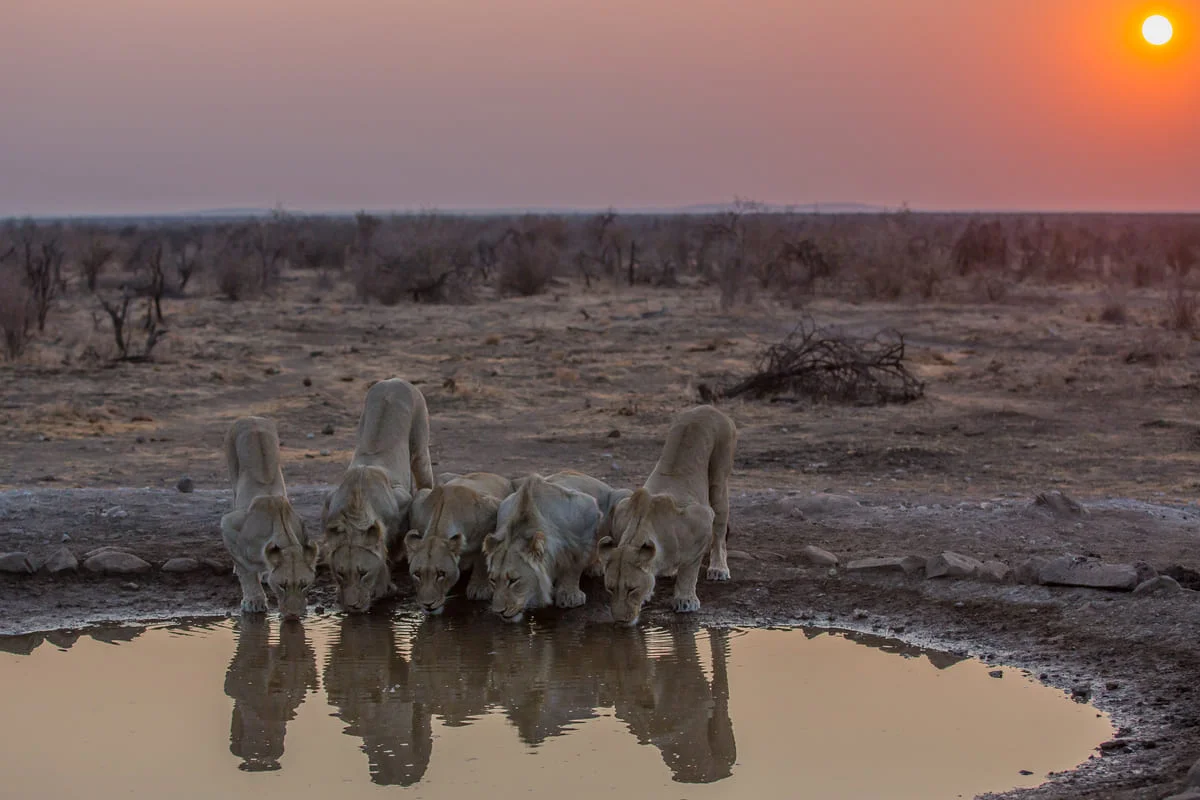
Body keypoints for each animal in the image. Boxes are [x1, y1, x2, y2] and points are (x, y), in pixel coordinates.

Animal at [219, 419, 316, 618]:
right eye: (282, 586)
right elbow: (246, 570)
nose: (293, 615)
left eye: (304, 585)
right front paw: (253, 601)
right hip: (232, 469)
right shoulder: (229, 525)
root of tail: (250, 417)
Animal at [324, 379, 436, 618]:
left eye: (363, 573)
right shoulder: (329, 501)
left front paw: (384, 586)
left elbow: (387, 549)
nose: (352, 607)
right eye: (340, 573)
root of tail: (394, 380)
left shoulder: (402, 502)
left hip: (420, 446)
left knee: (424, 477)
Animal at [405, 470, 513, 614]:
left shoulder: (493, 511)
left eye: (441, 574)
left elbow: (483, 556)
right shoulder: (417, 502)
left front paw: (480, 588)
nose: (428, 605)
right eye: (417, 574)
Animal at [482, 472, 604, 623]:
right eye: (493, 580)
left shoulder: (587, 514)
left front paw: (570, 596)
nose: (498, 612)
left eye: (514, 580)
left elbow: (575, 563)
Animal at [597, 407, 734, 623]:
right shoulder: (621, 511)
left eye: (632, 589)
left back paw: (718, 569)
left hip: (719, 476)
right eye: (610, 589)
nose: (620, 620)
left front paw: (685, 600)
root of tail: (708, 408)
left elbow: (690, 569)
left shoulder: (701, 519)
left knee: (720, 528)